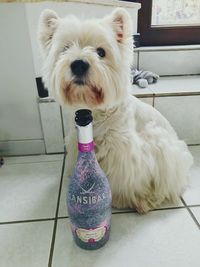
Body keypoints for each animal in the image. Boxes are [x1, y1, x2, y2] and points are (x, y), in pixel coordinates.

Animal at [37, 7, 192, 214]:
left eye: (101, 52)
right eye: (65, 49)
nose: (78, 64)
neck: (95, 112)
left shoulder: (122, 152)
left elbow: (123, 179)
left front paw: (119, 198)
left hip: (164, 150)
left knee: (166, 187)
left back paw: (145, 201)